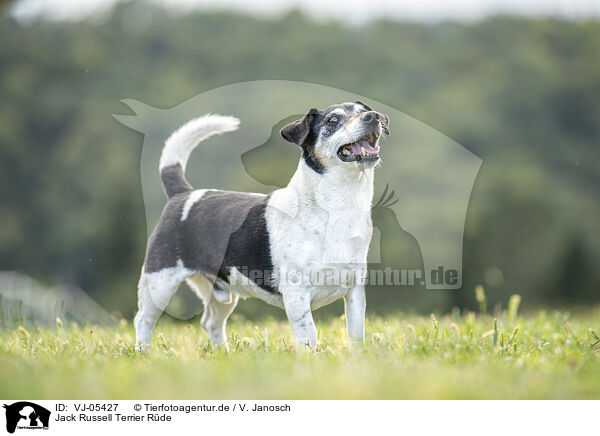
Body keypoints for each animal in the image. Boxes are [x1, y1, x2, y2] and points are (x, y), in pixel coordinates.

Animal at [134, 101, 392, 350]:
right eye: (333, 120)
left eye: (365, 110)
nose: (373, 117)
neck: (337, 207)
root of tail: (183, 194)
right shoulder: (296, 294)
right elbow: (309, 335)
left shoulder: (355, 291)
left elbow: (356, 334)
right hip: (159, 283)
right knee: (143, 320)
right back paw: (144, 352)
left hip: (220, 293)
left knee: (211, 322)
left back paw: (223, 355)